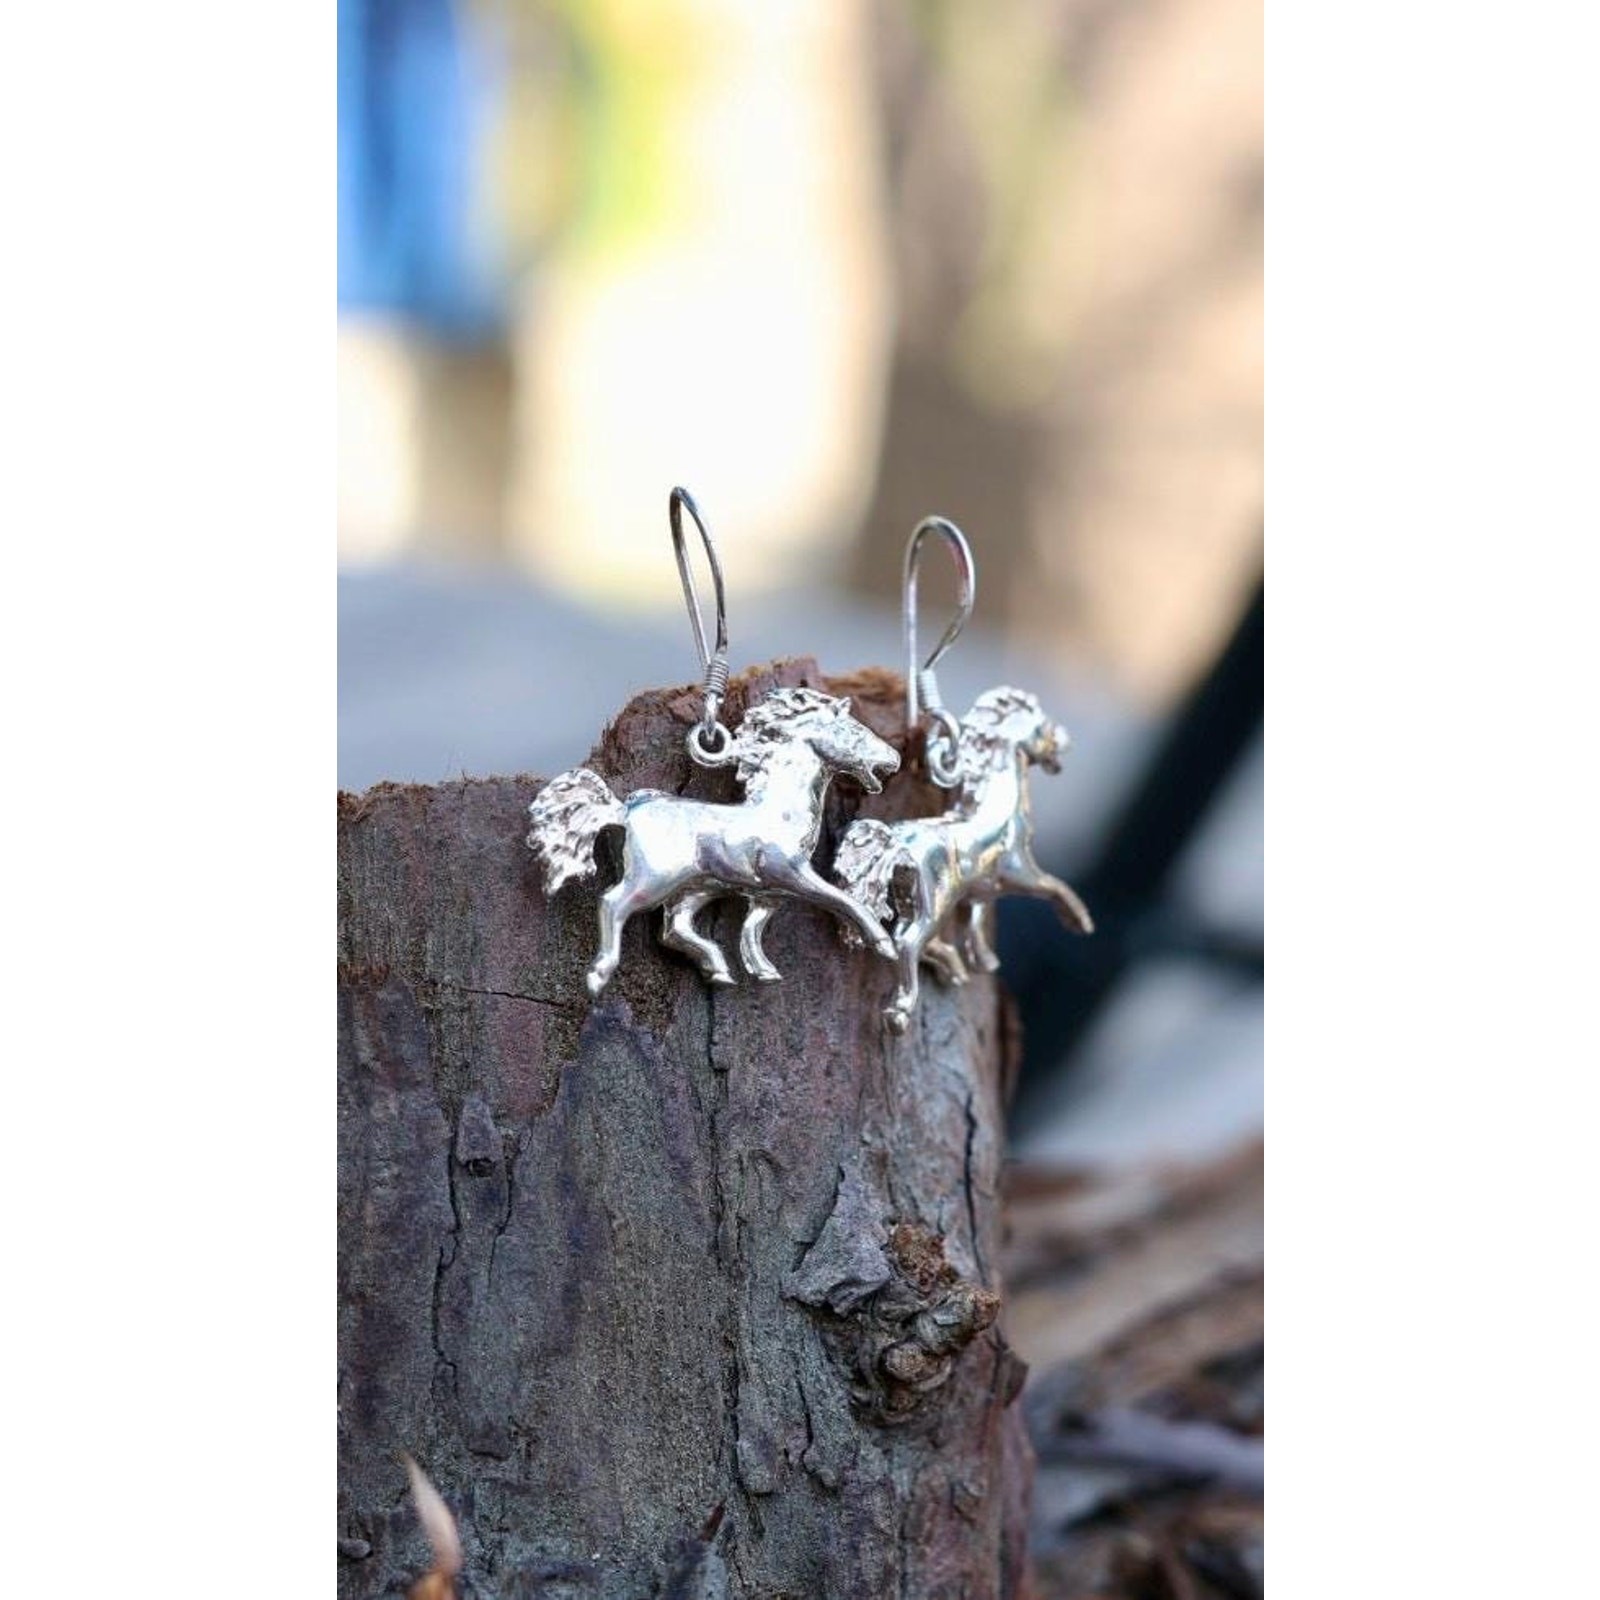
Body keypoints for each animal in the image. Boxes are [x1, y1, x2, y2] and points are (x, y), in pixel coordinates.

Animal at [527, 686, 901, 997]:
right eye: (855, 731)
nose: (894, 760)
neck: (780, 813)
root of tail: (624, 811)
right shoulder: (792, 875)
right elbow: (844, 900)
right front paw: (885, 945)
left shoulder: (767, 894)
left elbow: (752, 930)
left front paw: (764, 972)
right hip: (654, 879)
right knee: (612, 903)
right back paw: (598, 976)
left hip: (695, 889)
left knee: (673, 930)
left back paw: (719, 971)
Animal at [832, 686, 1093, 1032]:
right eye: (1043, 726)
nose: (1066, 740)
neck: (1001, 811)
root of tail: (899, 842)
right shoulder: (1021, 874)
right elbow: (1056, 887)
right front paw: (1080, 921)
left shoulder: (979, 892)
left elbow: (975, 921)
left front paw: (985, 960)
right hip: (935, 905)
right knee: (907, 943)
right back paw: (899, 1013)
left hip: (913, 902)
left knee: (912, 940)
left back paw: (954, 970)